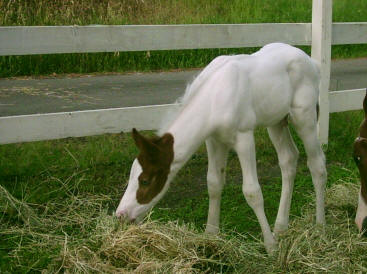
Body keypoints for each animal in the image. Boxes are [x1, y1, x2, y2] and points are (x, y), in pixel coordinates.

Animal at [116, 41, 326, 254]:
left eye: (145, 181)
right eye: (132, 175)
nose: (121, 214)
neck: (214, 97)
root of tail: (313, 63)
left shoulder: (244, 137)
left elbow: (252, 191)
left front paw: (271, 248)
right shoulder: (214, 140)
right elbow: (214, 183)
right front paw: (210, 236)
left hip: (304, 117)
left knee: (317, 164)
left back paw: (319, 227)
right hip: (276, 122)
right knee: (288, 159)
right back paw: (281, 228)